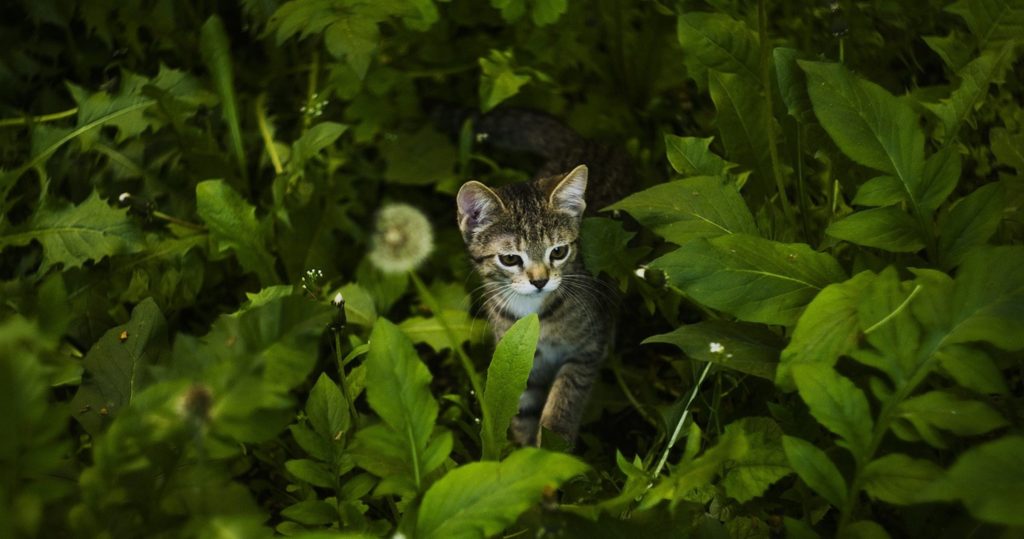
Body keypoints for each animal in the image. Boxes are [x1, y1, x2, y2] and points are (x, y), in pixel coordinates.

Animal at [456, 108, 630, 448]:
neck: (534, 313)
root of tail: (582, 140)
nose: (539, 280)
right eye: (510, 259)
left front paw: (553, 443)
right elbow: (521, 409)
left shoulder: (585, 352)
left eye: (559, 251)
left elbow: (564, 400)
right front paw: (526, 450)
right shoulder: (521, 355)